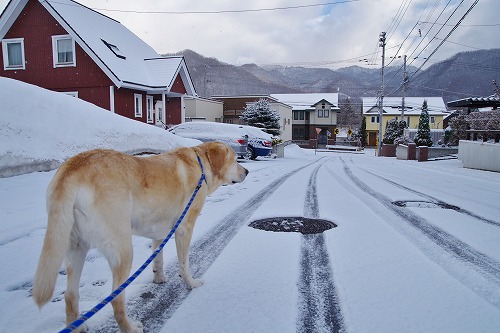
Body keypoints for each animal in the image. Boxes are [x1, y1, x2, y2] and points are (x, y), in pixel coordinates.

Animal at [33, 141, 248, 330]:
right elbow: (184, 263)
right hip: (123, 250)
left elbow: (158, 257)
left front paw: (159, 278)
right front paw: (192, 283)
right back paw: (130, 328)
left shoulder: (160, 230)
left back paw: (77, 326)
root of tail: (72, 168)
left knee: (70, 296)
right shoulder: (184, 228)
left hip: (75, 248)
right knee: (116, 300)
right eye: (235, 159)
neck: (201, 164)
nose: (246, 171)